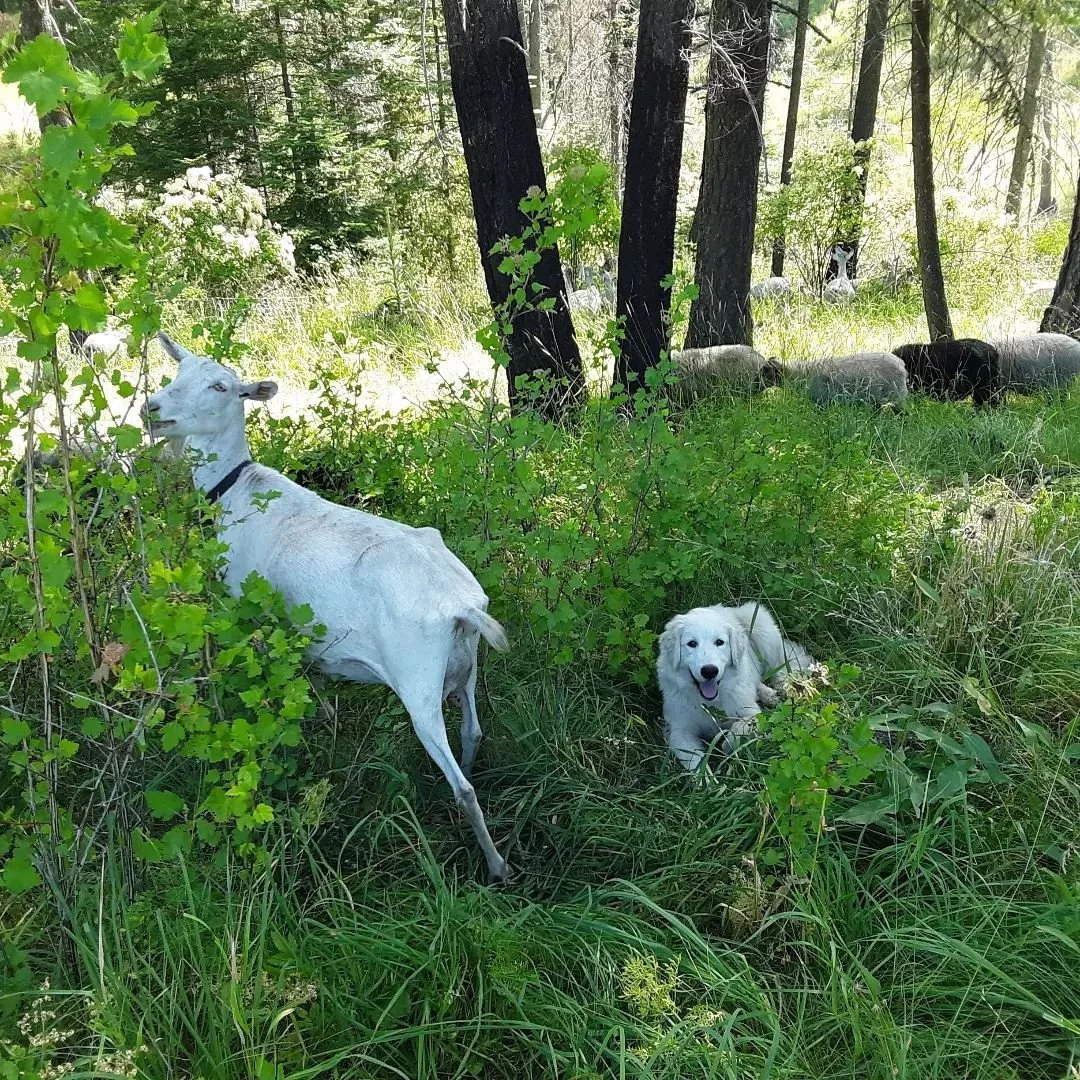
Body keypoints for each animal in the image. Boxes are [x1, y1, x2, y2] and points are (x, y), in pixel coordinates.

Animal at [142, 332, 511, 882]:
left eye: (220, 387)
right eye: (177, 372)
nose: (152, 408)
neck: (237, 490)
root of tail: (462, 608)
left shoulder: (250, 609)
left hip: (417, 680)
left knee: (463, 786)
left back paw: (496, 865)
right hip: (464, 669)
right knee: (473, 732)